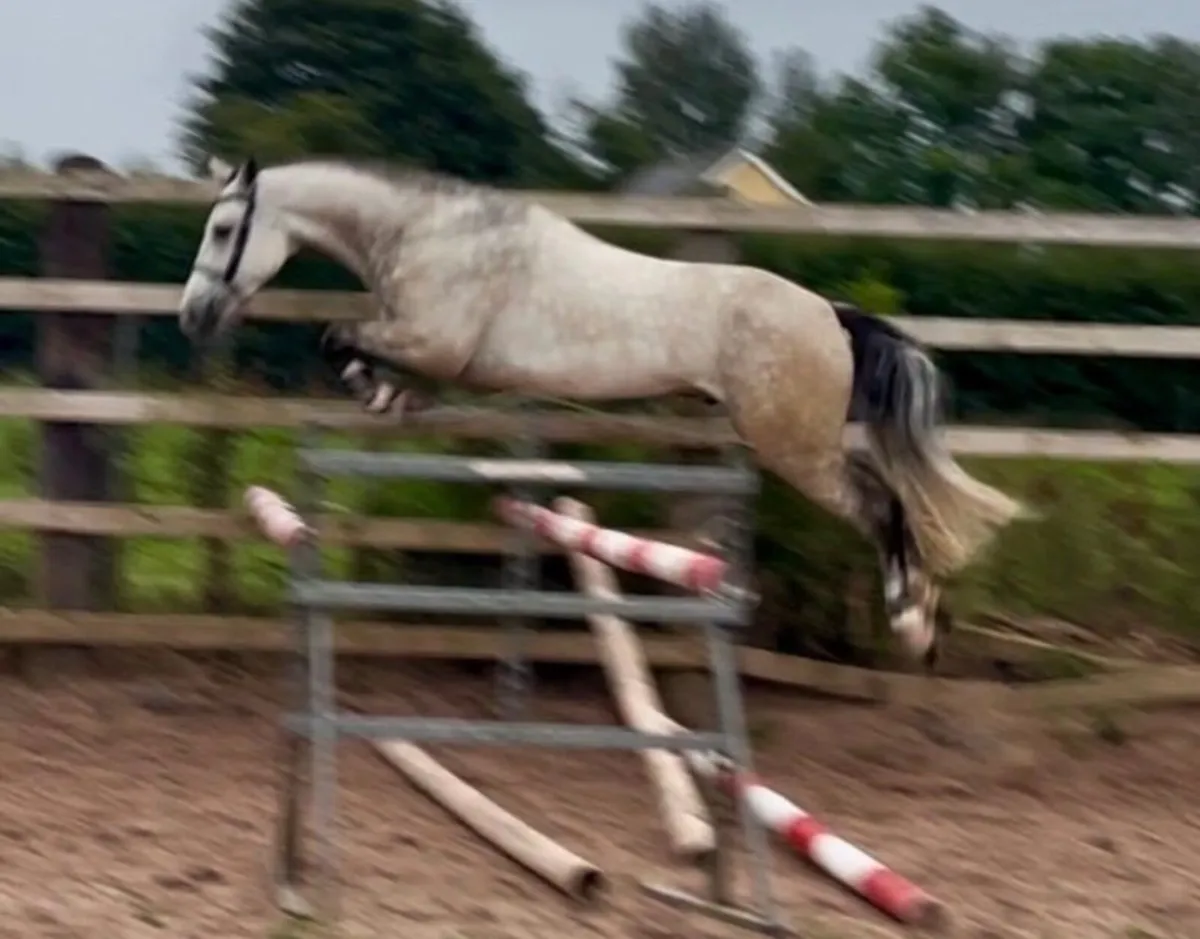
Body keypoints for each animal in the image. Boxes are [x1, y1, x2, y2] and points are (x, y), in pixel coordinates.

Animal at [179, 155, 1023, 663]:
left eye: (222, 229)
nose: (193, 316)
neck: (429, 234)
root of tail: (831, 315)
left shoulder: (435, 341)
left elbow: (339, 336)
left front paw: (372, 385)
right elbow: (376, 359)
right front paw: (389, 394)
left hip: (795, 447)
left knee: (884, 504)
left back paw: (911, 622)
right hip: (807, 440)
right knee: (896, 495)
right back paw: (922, 613)